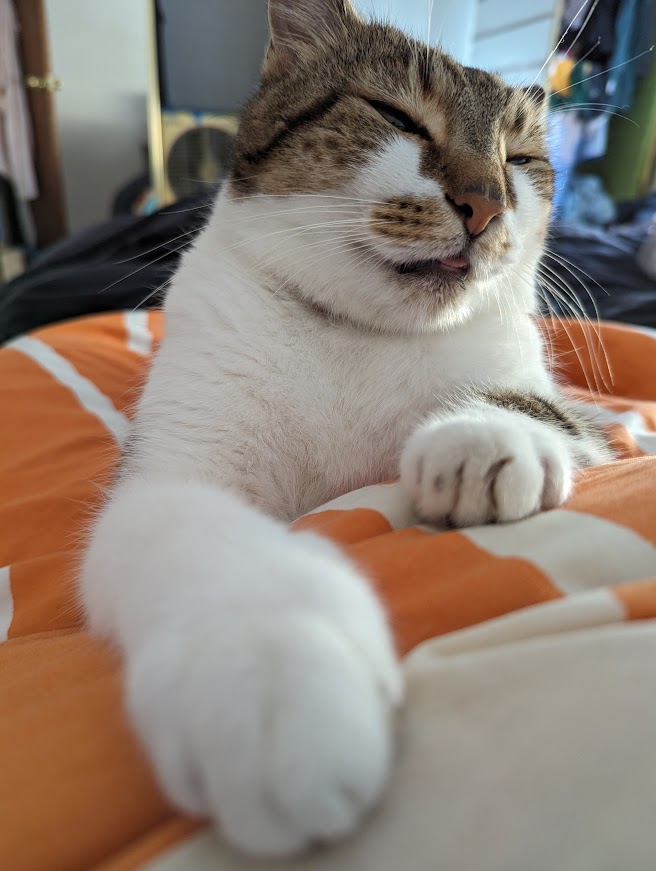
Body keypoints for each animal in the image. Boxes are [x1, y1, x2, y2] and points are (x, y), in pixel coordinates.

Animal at [79, 0, 612, 860]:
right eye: (397, 116)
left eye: (523, 158)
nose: (488, 203)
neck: (360, 338)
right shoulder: (173, 466)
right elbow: (203, 534)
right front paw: (269, 668)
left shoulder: (544, 387)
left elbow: (538, 405)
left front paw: (477, 442)